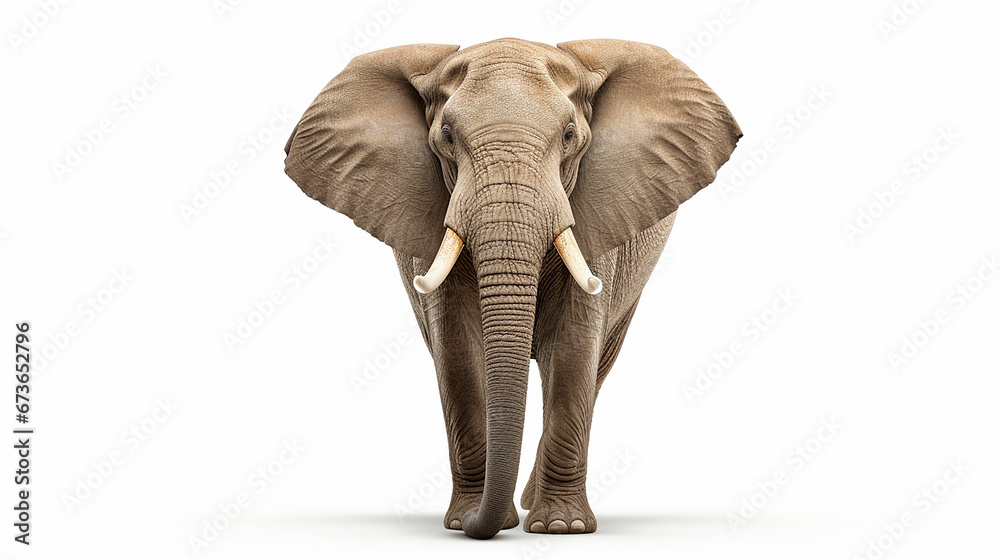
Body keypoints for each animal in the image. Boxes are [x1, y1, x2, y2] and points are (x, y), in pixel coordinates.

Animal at [283, 38, 740, 539]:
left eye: (569, 136)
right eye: (446, 137)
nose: (474, 524)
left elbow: (573, 346)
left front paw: (561, 527)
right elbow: (458, 350)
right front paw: (467, 520)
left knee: (598, 363)